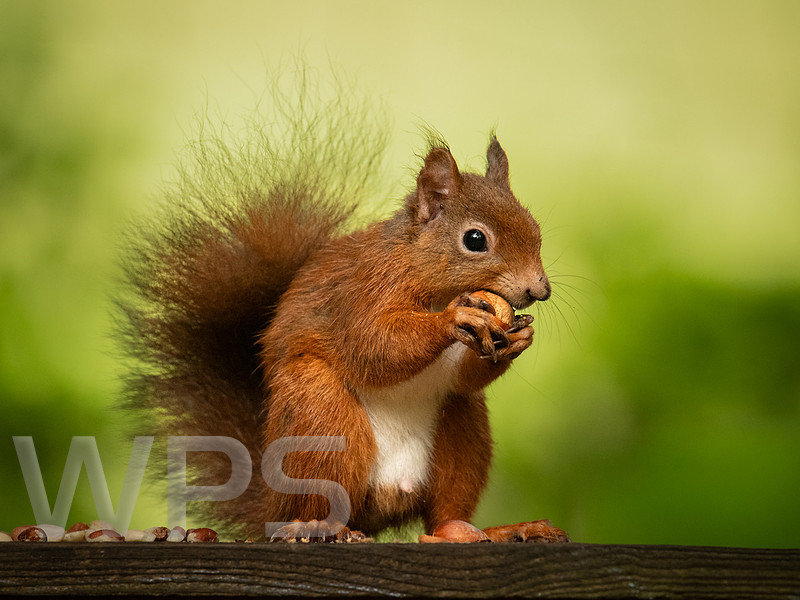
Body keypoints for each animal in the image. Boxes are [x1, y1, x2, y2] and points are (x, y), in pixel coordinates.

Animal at [119, 83, 568, 544]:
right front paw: (453, 320)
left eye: (535, 230)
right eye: (475, 239)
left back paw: (476, 528)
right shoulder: (362, 290)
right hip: (319, 413)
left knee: (444, 505)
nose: (540, 290)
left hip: (461, 427)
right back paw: (319, 525)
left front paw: (519, 339)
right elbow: (372, 346)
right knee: (323, 495)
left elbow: (464, 375)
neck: (429, 280)